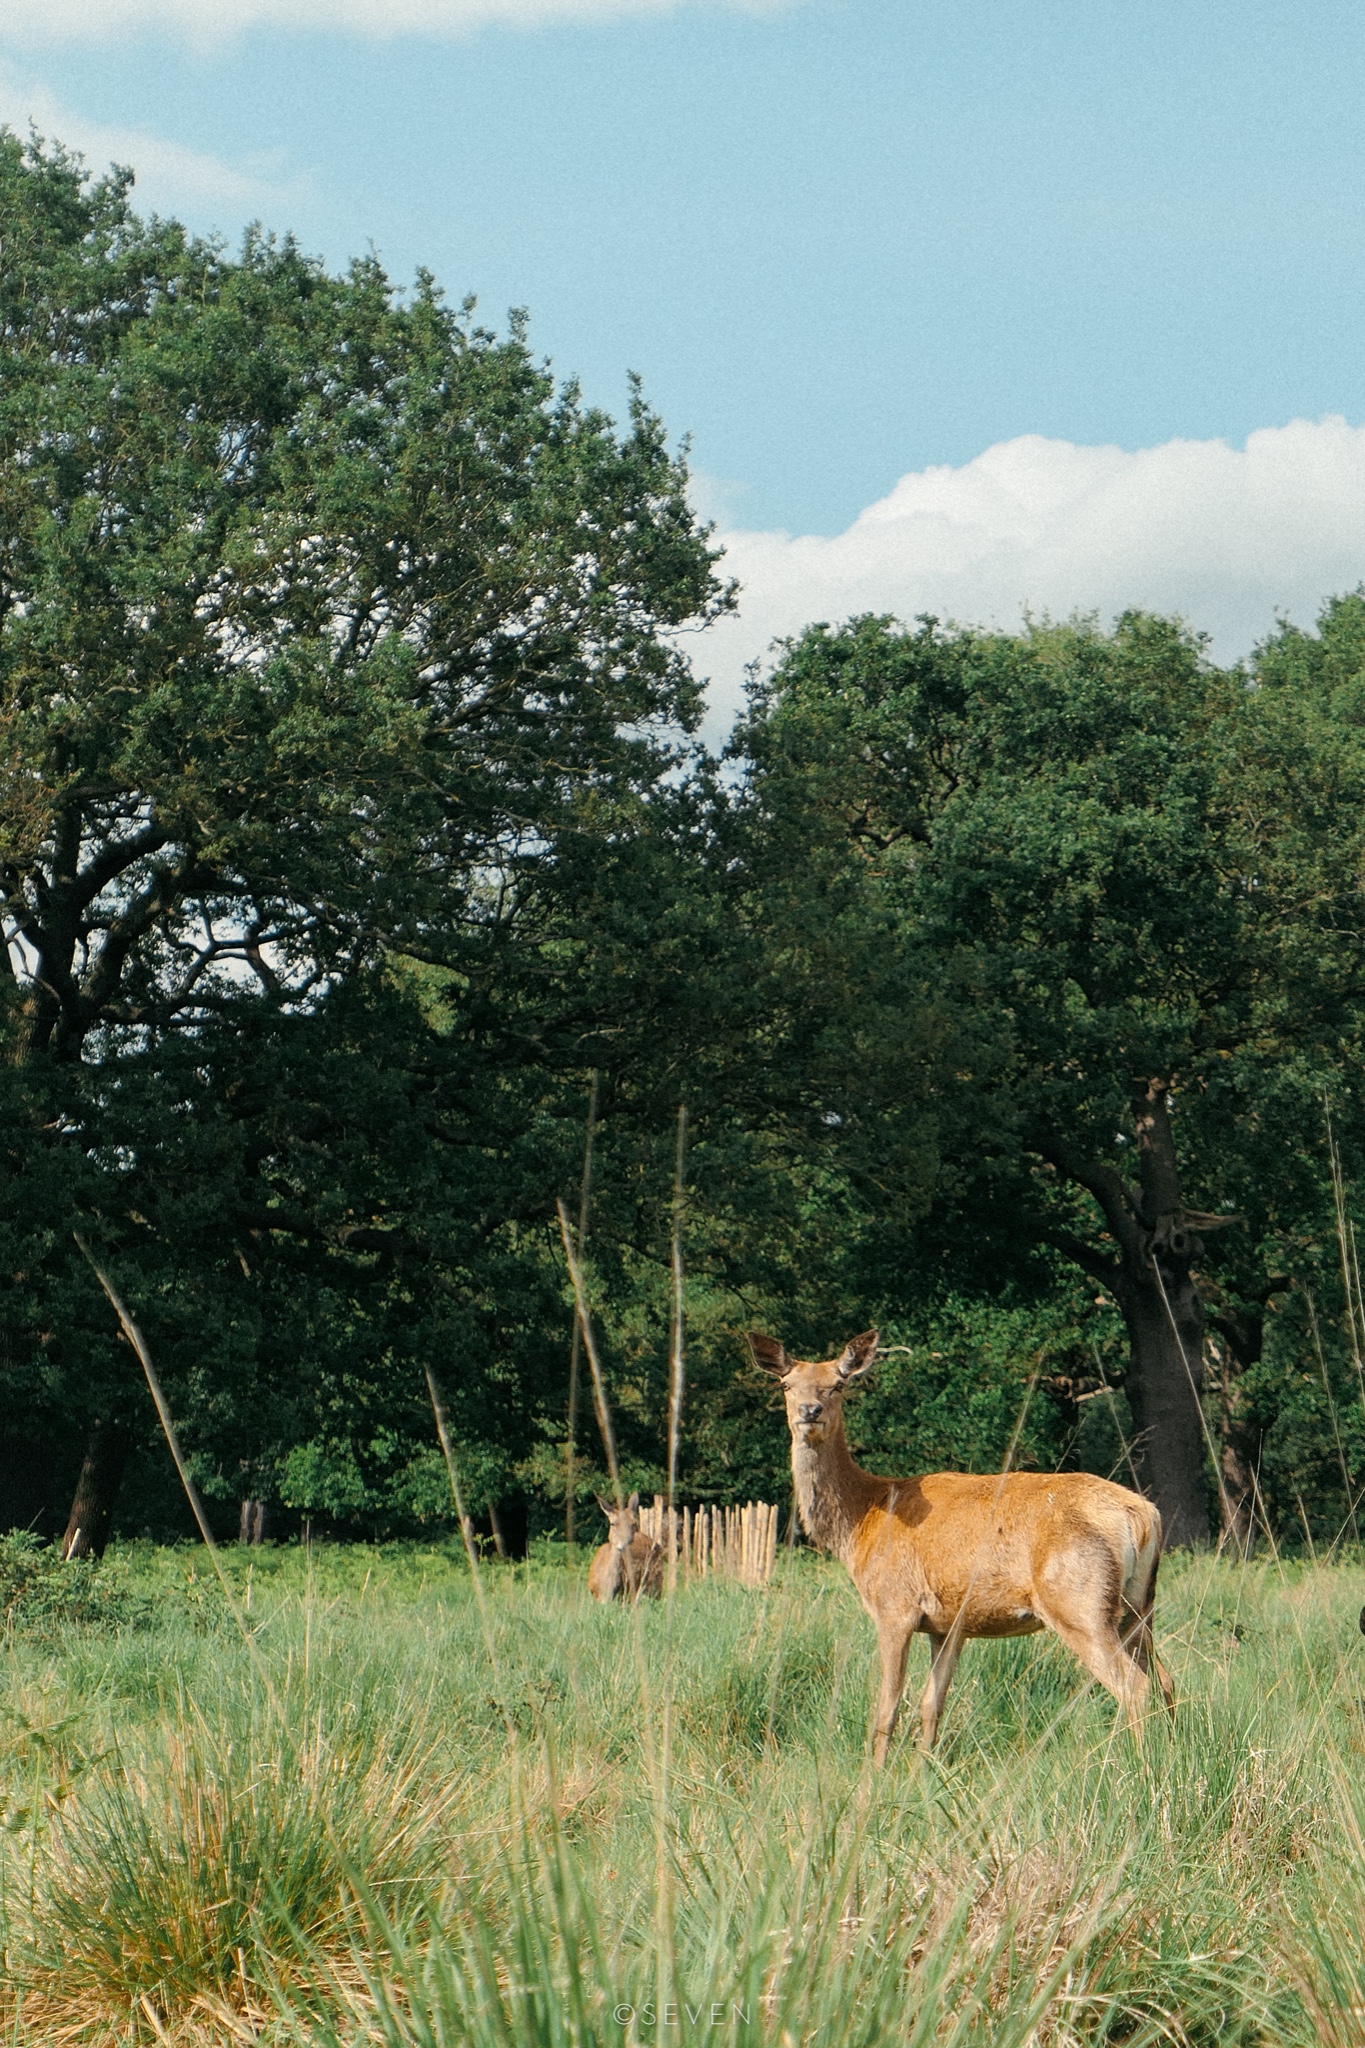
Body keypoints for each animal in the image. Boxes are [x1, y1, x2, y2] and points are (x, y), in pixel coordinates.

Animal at [749, 1327, 1178, 1761]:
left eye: (838, 1384)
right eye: (786, 1384)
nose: (810, 1410)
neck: (863, 1521)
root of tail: (1142, 1514)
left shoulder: (895, 1606)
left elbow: (887, 1709)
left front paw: (875, 1776)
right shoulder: (948, 1626)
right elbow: (931, 1705)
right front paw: (923, 1769)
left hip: (1078, 1601)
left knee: (1134, 1686)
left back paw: (1136, 1764)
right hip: (1138, 1606)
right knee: (1166, 1680)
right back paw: (1169, 1757)